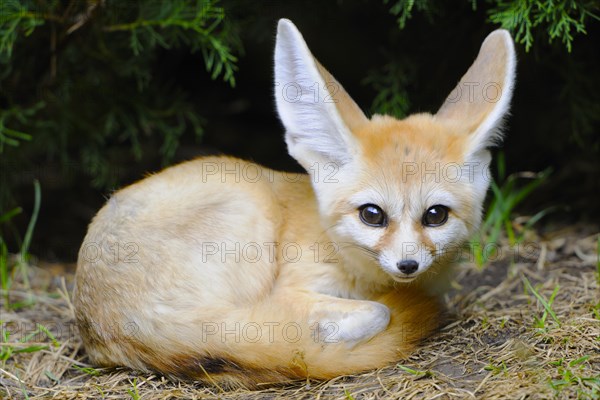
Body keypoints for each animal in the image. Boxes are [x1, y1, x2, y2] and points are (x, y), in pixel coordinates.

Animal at [74, 18, 516, 388]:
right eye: (372, 215)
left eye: (435, 215)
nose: (407, 265)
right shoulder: (288, 290)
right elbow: (379, 311)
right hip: (248, 213)